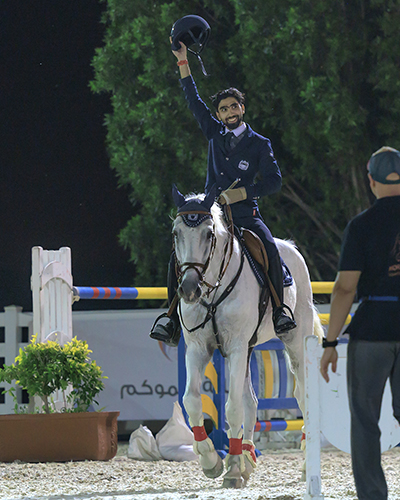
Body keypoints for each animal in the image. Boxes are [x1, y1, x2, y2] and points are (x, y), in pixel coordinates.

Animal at [172, 186, 322, 486]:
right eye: (176, 233)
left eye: (209, 234)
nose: (189, 289)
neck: (214, 288)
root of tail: (292, 247)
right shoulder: (198, 347)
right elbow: (192, 400)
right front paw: (212, 460)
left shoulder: (237, 347)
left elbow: (232, 408)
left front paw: (230, 469)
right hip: (247, 349)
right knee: (251, 401)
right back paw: (246, 456)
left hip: (294, 343)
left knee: (302, 395)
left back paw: (302, 465)